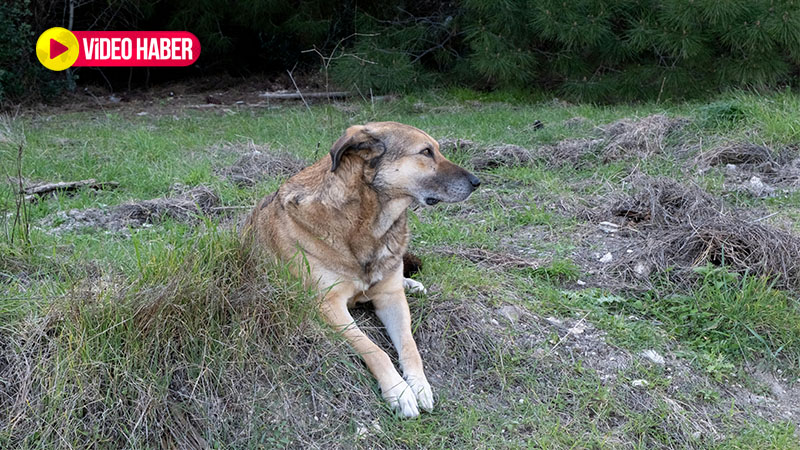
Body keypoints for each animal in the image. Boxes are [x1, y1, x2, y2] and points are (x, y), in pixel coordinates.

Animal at [244, 121, 478, 416]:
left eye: (436, 149)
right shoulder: (328, 305)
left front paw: (419, 384)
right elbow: (374, 349)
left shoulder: (391, 299)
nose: (477, 182)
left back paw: (411, 284)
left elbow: (410, 346)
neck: (365, 222)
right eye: (426, 152)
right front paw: (399, 390)